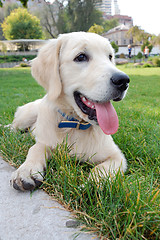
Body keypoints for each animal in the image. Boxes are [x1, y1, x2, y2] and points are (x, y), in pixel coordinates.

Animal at [10, 31, 130, 191]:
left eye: (110, 57)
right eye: (81, 57)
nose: (123, 80)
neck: (75, 125)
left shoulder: (117, 155)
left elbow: (102, 168)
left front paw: (94, 183)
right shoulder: (46, 141)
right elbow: (36, 148)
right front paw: (26, 170)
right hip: (27, 114)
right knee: (14, 126)